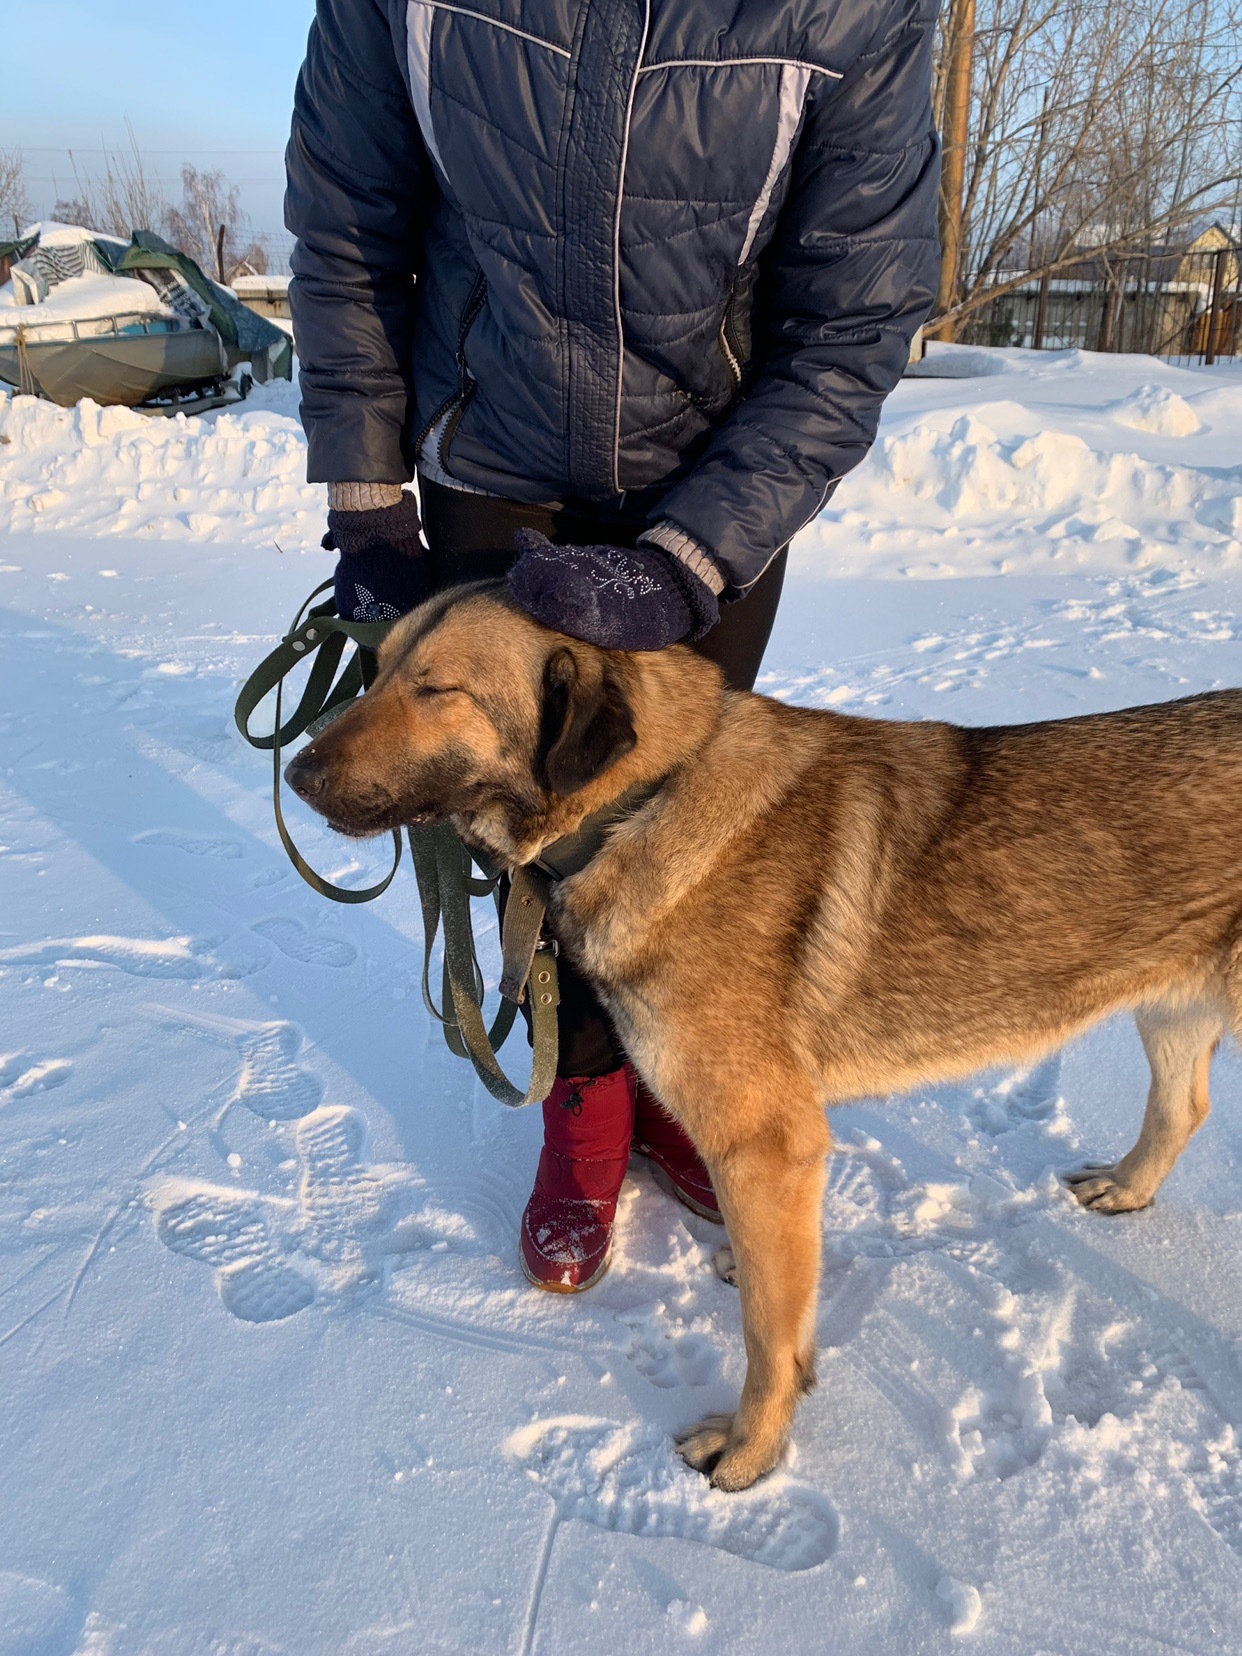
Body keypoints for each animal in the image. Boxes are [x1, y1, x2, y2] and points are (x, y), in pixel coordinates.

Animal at [286, 589, 1242, 1497]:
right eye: (378, 665)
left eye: (437, 689)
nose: (294, 772)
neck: (644, 801)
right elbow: (775, 1288)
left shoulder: (770, 1147)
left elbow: (766, 1338)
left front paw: (751, 1454)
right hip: (1171, 1005)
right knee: (1183, 1107)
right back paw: (1127, 1189)